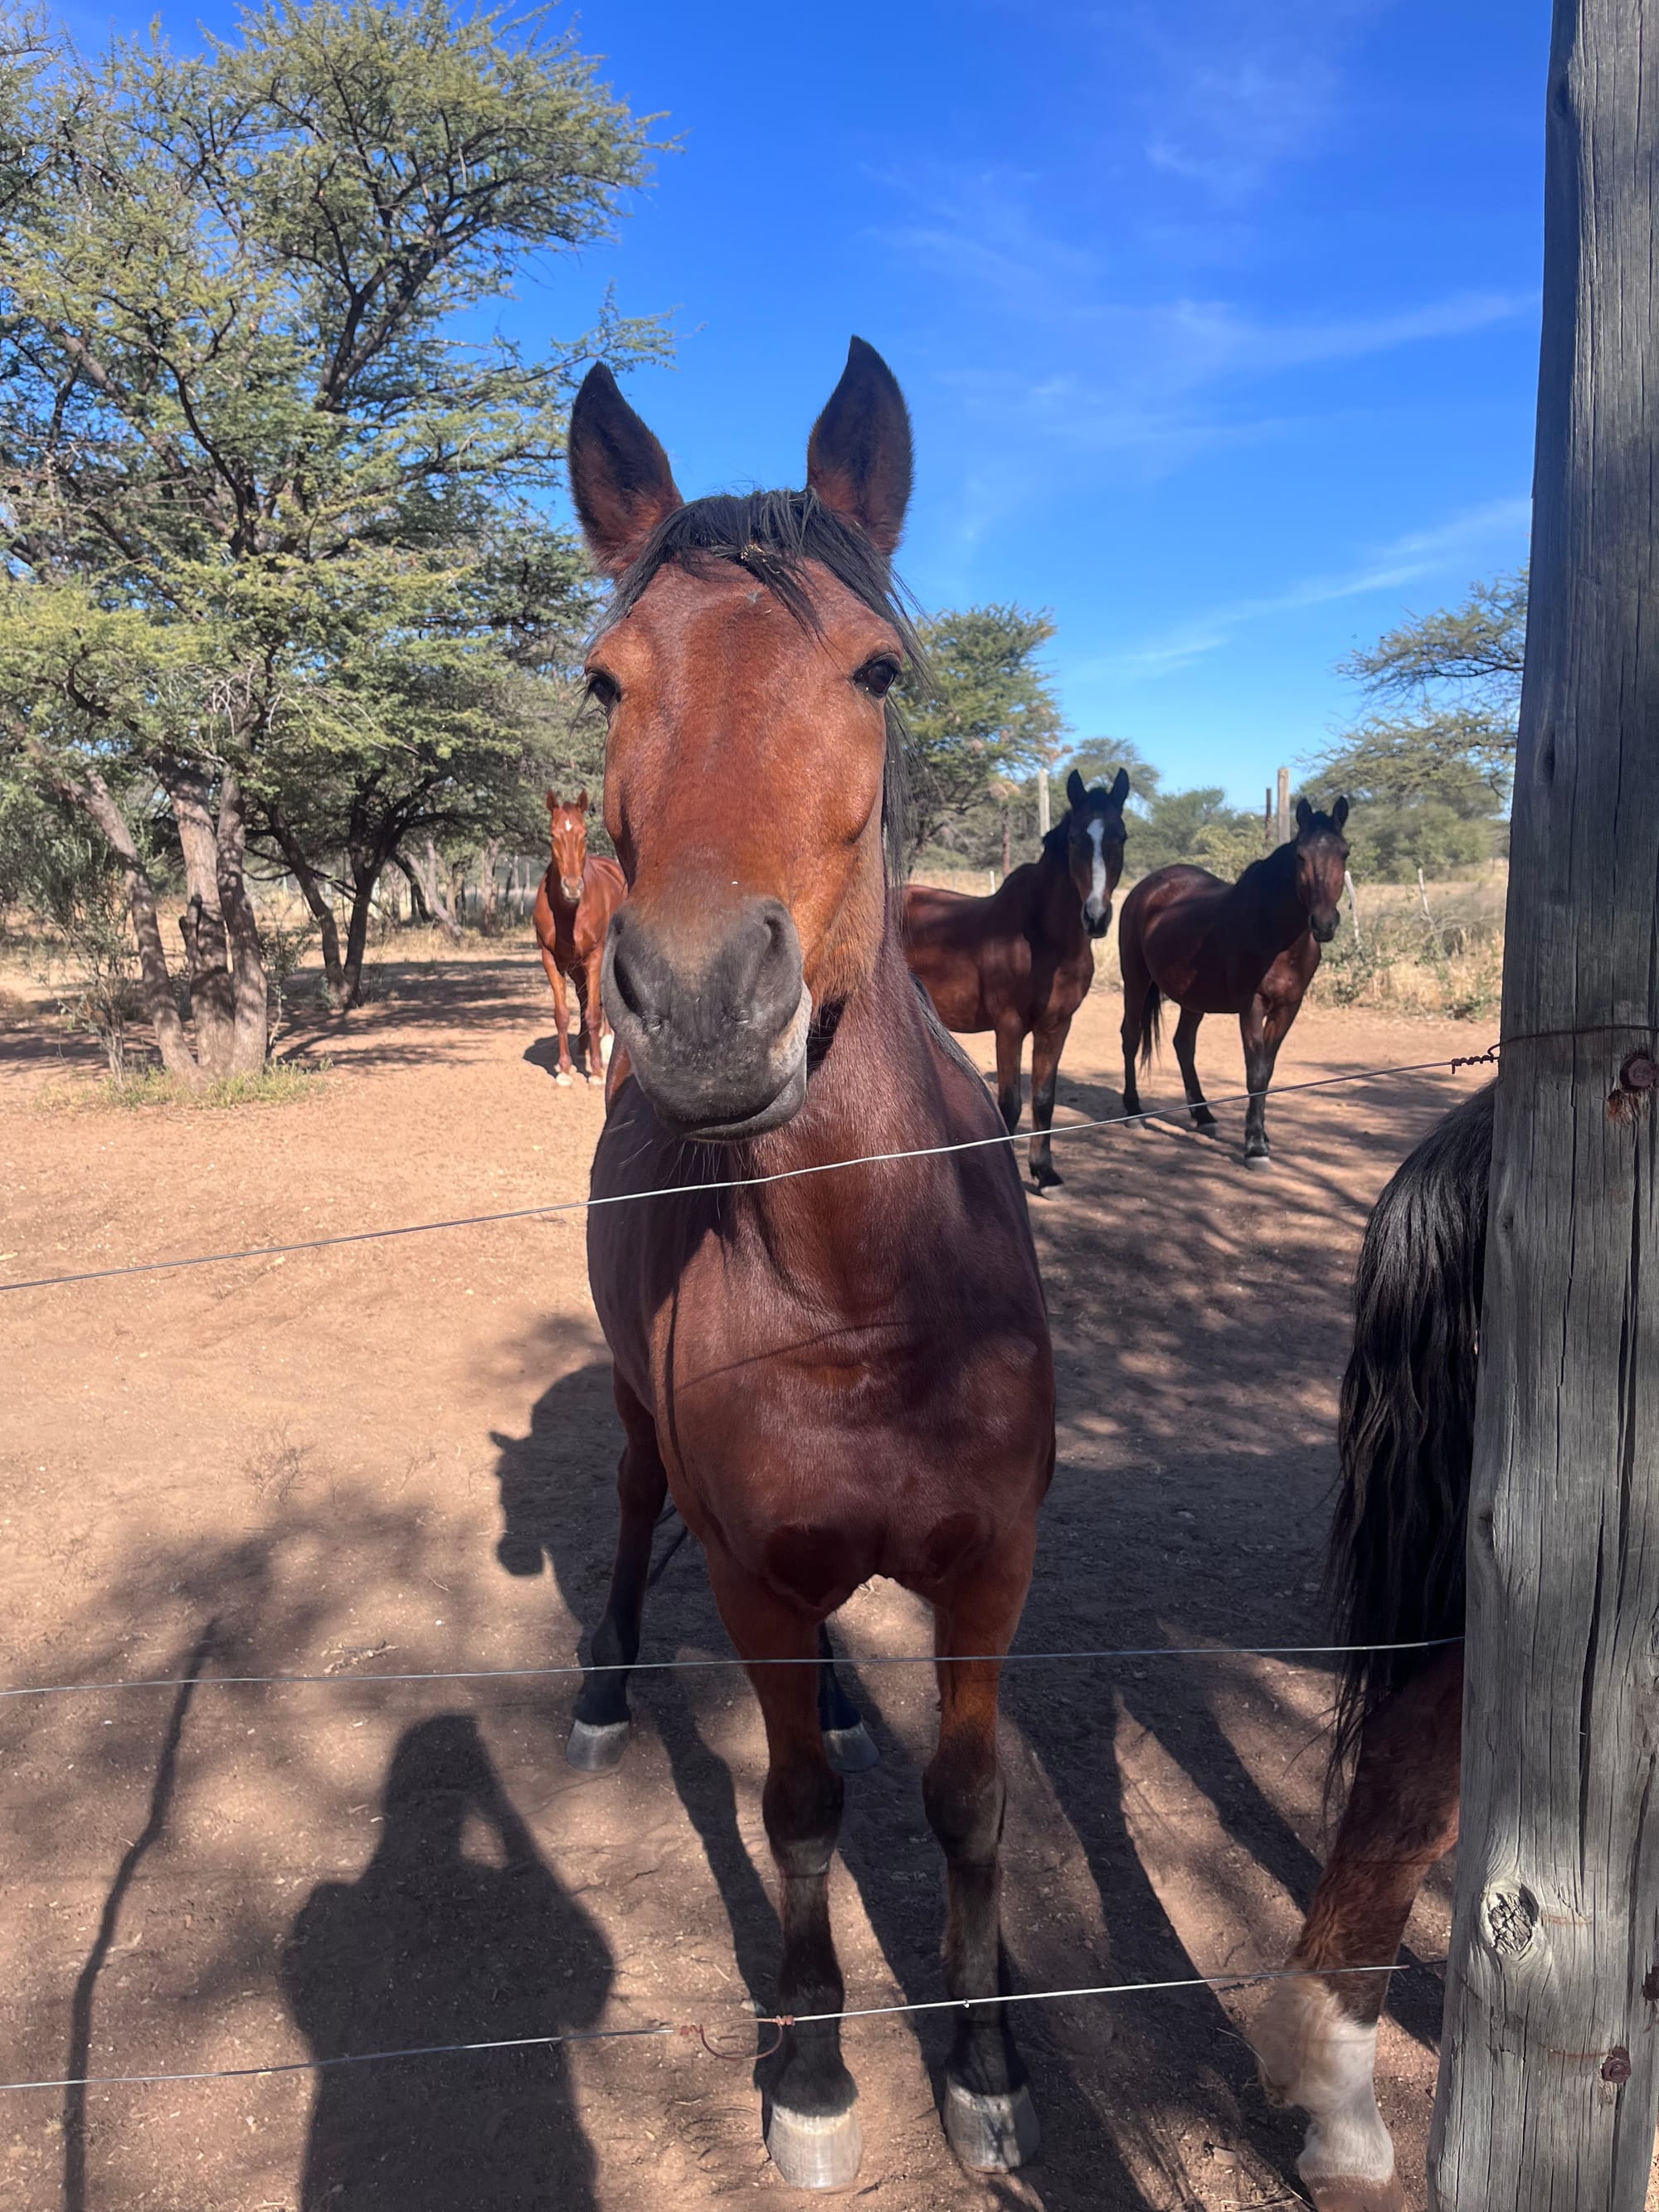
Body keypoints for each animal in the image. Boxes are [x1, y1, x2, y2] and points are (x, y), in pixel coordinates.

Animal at [532, 790, 626, 1084]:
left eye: (584, 834)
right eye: (553, 835)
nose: (572, 887)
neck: (569, 913)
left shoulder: (595, 957)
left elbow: (595, 1012)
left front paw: (595, 1071)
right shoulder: (551, 959)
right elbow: (562, 1014)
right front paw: (564, 1069)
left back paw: (605, 1047)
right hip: (575, 967)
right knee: (584, 997)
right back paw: (584, 1046)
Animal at [563, 339, 1055, 2190]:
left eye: (877, 666)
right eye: (602, 683)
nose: (707, 1000)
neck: (863, 1304)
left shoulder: (990, 1568)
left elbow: (970, 1806)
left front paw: (983, 2062)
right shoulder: (756, 1576)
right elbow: (793, 1818)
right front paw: (819, 2069)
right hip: (644, 1439)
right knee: (629, 1514)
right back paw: (605, 1684)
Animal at [902, 768, 1130, 1190]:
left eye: (1120, 836)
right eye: (1075, 838)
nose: (1096, 917)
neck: (1045, 942)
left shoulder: (1056, 1026)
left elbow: (1044, 1099)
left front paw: (1045, 1172)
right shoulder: (1008, 1026)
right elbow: (1008, 1105)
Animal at [1117, 797, 1350, 1162]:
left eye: (1345, 853)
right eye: (1300, 856)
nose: (1324, 923)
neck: (1274, 933)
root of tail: (1147, 887)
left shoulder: (1288, 1007)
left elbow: (1267, 1069)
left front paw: (1262, 1136)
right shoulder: (1251, 1006)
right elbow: (1255, 1071)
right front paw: (1255, 1146)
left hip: (1192, 997)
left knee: (1183, 1044)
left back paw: (1204, 1116)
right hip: (1136, 979)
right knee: (1131, 1036)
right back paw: (1134, 1112)